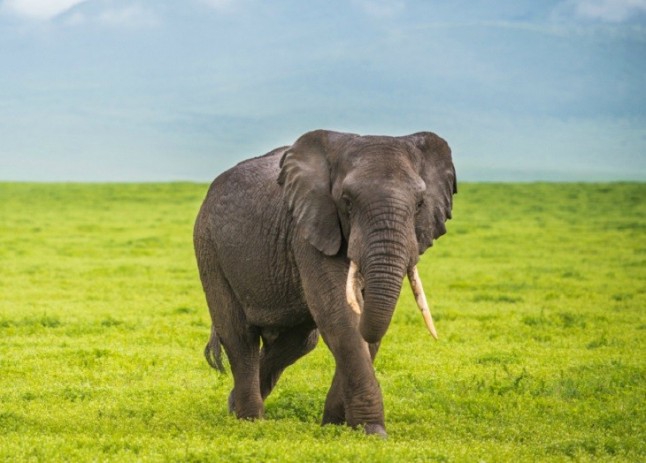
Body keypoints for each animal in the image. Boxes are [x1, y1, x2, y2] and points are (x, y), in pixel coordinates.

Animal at [194, 129, 456, 437]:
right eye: (347, 201)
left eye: (420, 204)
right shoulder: (309, 228)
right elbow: (340, 315)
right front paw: (372, 432)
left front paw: (335, 425)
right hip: (209, 247)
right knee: (239, 336)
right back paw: (250, 421)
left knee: (297, 343)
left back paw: (234, 406)